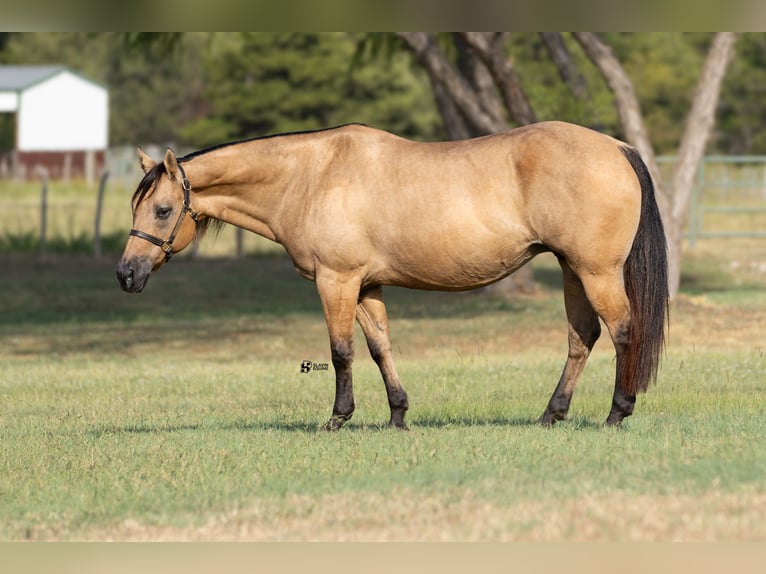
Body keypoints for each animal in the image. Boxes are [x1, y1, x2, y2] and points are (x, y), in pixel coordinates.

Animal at [116, 121, 669, 430]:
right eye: (136, 206)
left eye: (162, 210)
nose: (125, 274)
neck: (312, 177)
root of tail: (617, 148)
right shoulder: (366, 286)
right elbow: (381, 347)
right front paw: (398, 415)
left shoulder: (336, 281)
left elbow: (341, 351)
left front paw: (338, 418)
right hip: (573, 270)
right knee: (582, 337)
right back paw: (551, 415)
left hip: (597, 271)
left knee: (623, 331)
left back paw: (617, 413)